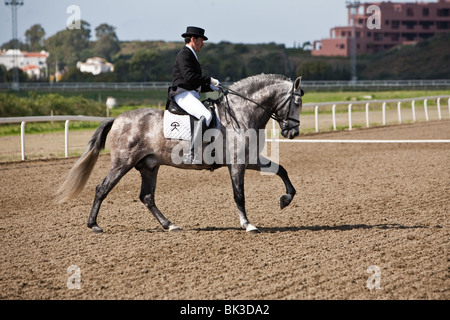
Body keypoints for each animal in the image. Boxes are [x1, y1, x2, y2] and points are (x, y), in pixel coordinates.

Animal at [56, 74, 302, 234]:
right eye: (297, 102)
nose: (293, 132)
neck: (240, 114)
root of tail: (117, 119)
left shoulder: (248, 159)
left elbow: (281, 169)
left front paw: (286, 199)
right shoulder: (236, 164)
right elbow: (239, 195)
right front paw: (248, 225)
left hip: (149, 166)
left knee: (147, 197)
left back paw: (169, 225)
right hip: (122, 163)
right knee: (102, 188)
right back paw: (94, 225)